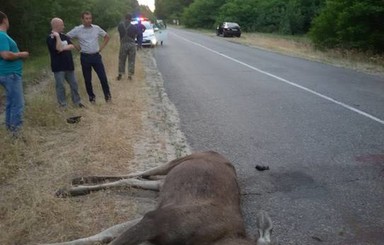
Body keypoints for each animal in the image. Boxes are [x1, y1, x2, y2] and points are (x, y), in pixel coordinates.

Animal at [45, 151, 272, 245]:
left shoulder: (154, 219)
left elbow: (106, 233)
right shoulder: (156, 220)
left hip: (162, 185)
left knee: (136, 179)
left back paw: (72, 188)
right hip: (176, 161)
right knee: (140, 172)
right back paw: (75, 183)